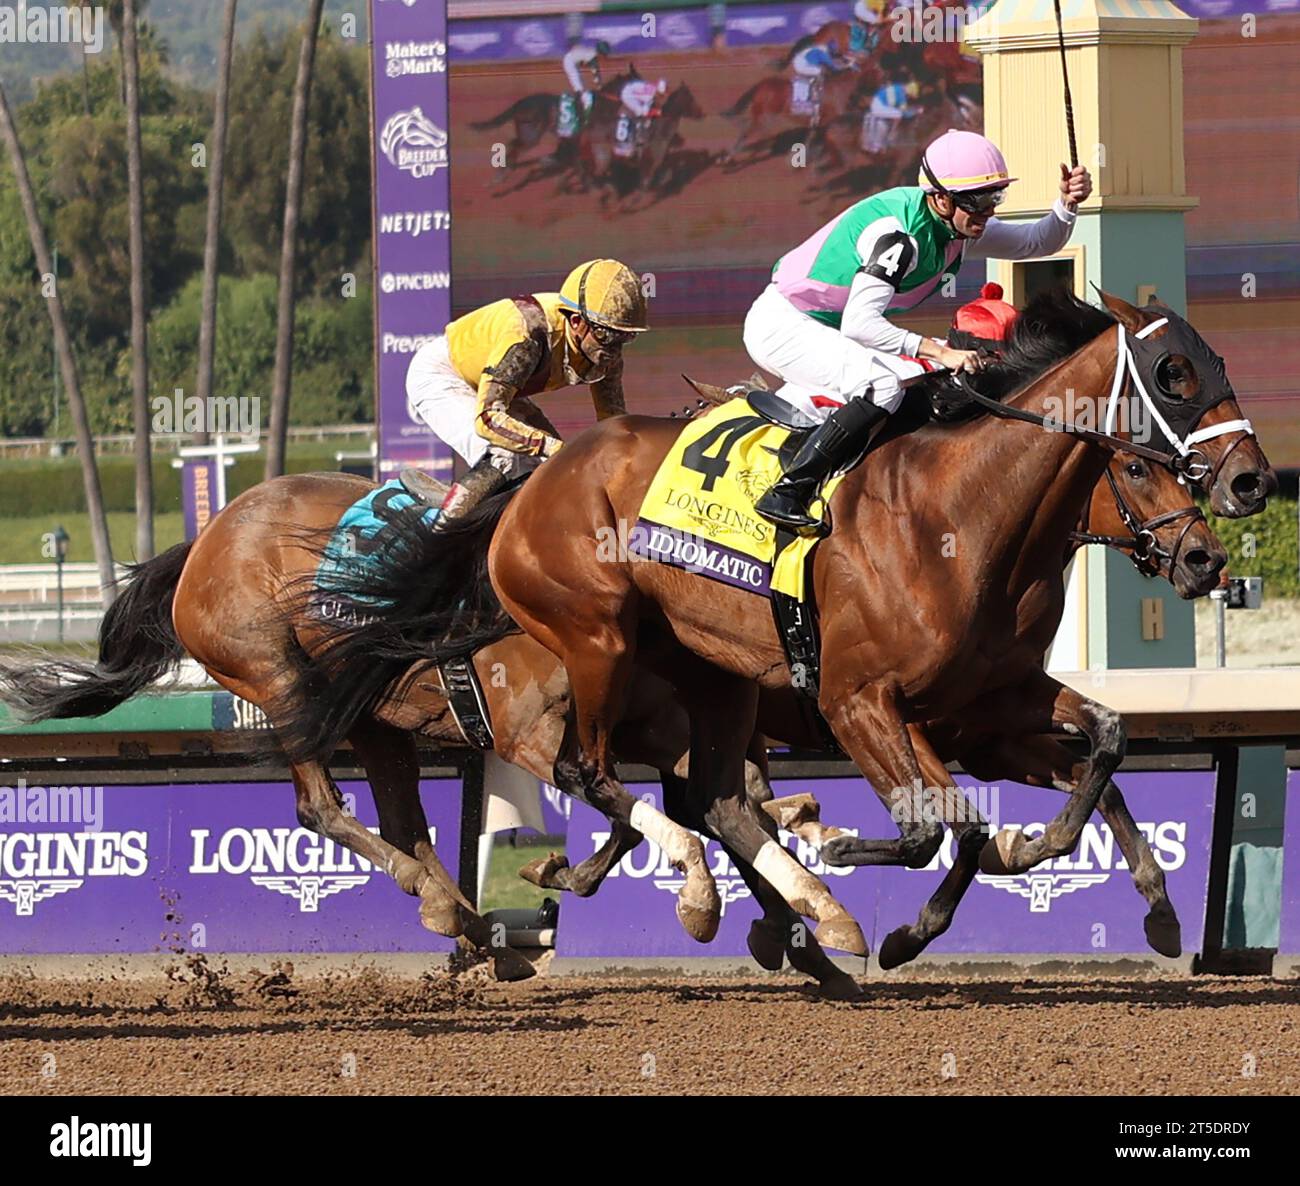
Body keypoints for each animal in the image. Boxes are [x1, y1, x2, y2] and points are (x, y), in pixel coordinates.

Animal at [483, 291, 1263, 951]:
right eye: (1173, 373)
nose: (1211, 548)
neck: (961, 518)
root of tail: (544, 475)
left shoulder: (993, 705)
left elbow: (1102, 744)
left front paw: (1137, 896)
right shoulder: (861, 703)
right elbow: (937, 829)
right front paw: (872, 881)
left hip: (714, 677)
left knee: (718, 799)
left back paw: (785, 905)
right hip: (598, 642)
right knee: (590, 769)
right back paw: (716, 888)